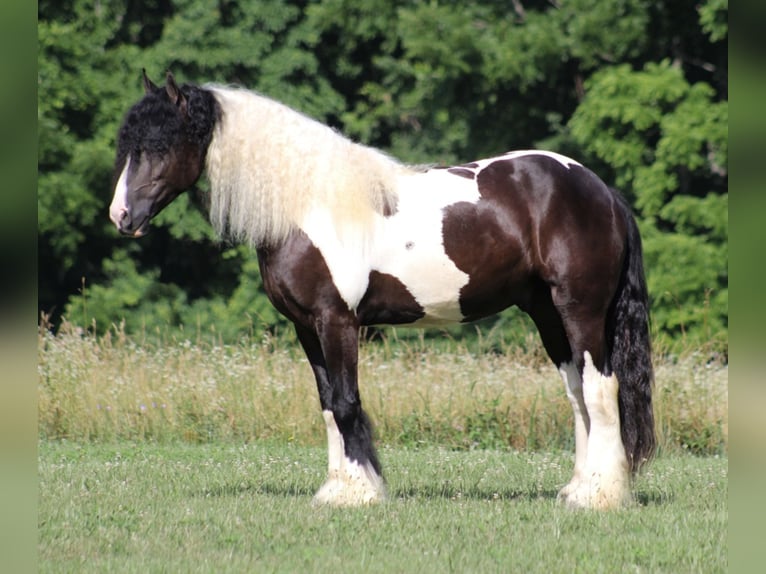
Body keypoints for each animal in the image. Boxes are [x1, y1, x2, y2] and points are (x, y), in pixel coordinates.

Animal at [111, 71, 656, 508]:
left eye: (159, 145)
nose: (121, 217)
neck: (308, 204)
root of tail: (601, 190)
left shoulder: (337, 321)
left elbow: (347, 402)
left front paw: (359, 492)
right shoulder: (307, 328)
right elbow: (329, 404)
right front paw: (337, 489)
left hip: (580, 309)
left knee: (600, 387)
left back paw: (600, 495)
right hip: (546, 313)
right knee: (576, 392)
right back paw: (578, 487)